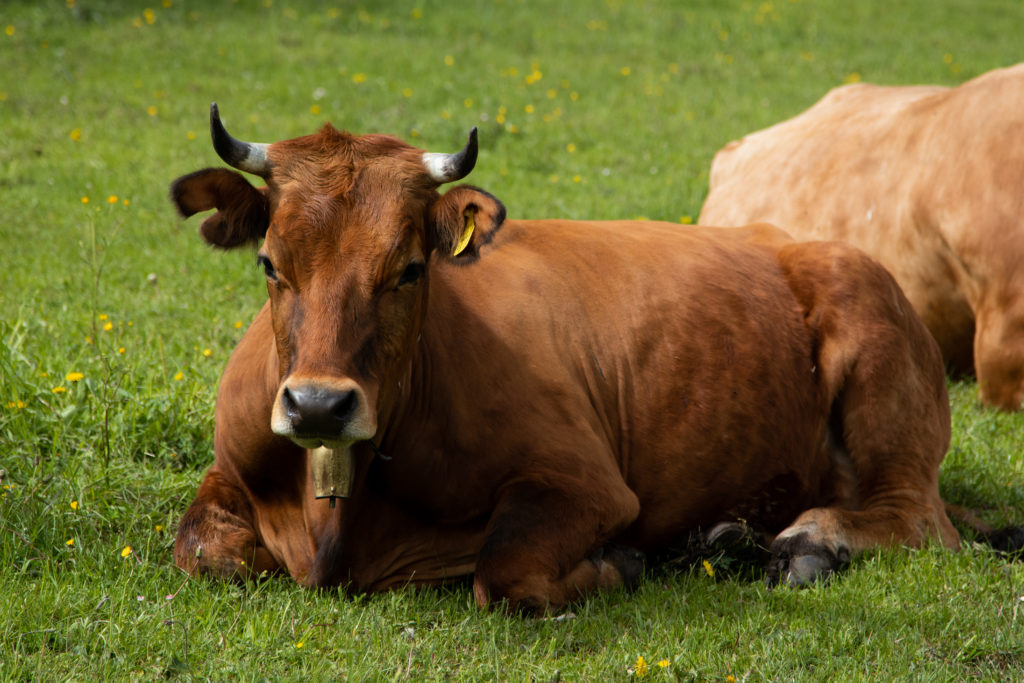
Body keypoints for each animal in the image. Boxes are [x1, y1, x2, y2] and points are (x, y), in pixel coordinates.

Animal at [169, 104, 1015, 618]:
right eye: (271, 263)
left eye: (408, 269)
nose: (318, 405)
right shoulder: (227, 473)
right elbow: (199, 549)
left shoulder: (585, 483)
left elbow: (506, 574)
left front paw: (621, 563)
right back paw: (724, 536)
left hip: (883, 386)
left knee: (915, 518)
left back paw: (809, 542)